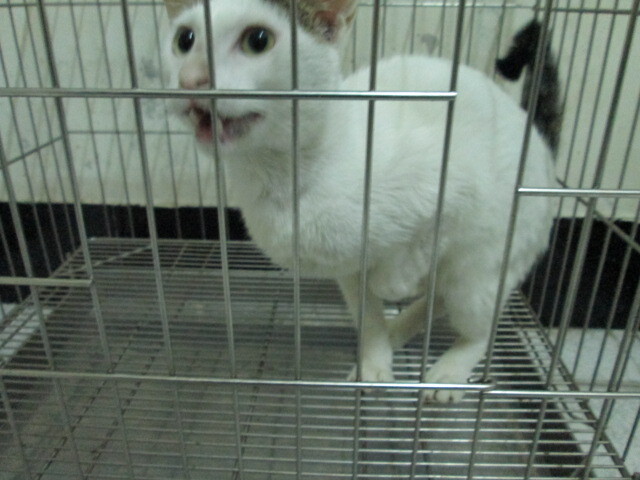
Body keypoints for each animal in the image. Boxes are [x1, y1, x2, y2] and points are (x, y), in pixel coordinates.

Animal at [163, 0, 560, 403]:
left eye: (258, 40)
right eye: (184, 39)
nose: (190, 78)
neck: (281, 182)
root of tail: (540, 144)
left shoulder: (455, 186)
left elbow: (418, 246)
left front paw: (396, 281)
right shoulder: (347, 270)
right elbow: (366, 312)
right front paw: (374, 359)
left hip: (483, 269)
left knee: (477, 322)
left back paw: (447, 370)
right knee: (439, 300)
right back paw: (400, 329)